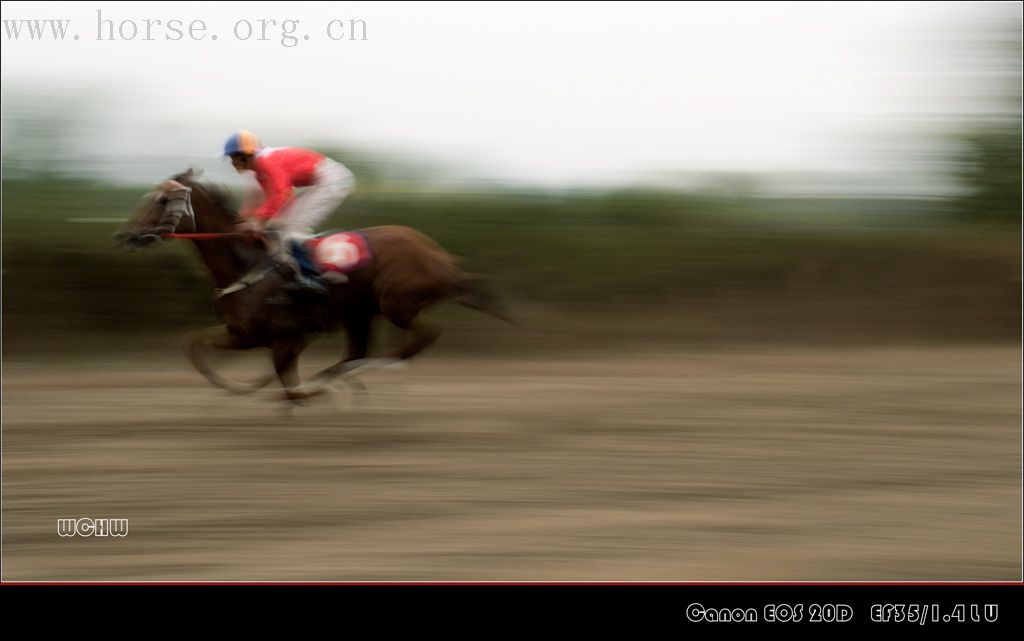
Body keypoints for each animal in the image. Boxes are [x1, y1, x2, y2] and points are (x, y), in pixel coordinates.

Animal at [116, 169, 512, 399]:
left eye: (160, 199)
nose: (126, 235)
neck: (247, 266)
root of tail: (441, 256)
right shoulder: (243, 335)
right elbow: (193, 346)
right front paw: (241, 385)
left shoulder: (289, 336)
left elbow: (291, 388)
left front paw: (300, 390)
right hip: (359, 313)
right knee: (357, 352)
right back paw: (340, 376)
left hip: (395, 302)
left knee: (419, 337)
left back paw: (353, 376)